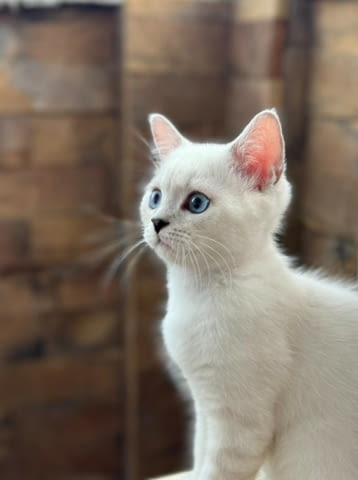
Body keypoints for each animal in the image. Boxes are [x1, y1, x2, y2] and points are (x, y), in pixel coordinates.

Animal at [139, 110, 358, 478]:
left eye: (196, 203)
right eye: (155, 197)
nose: (156, 222)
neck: (195, 294)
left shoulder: (239, 426)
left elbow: (214, 471)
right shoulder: (205, 407)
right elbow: (198, 458)